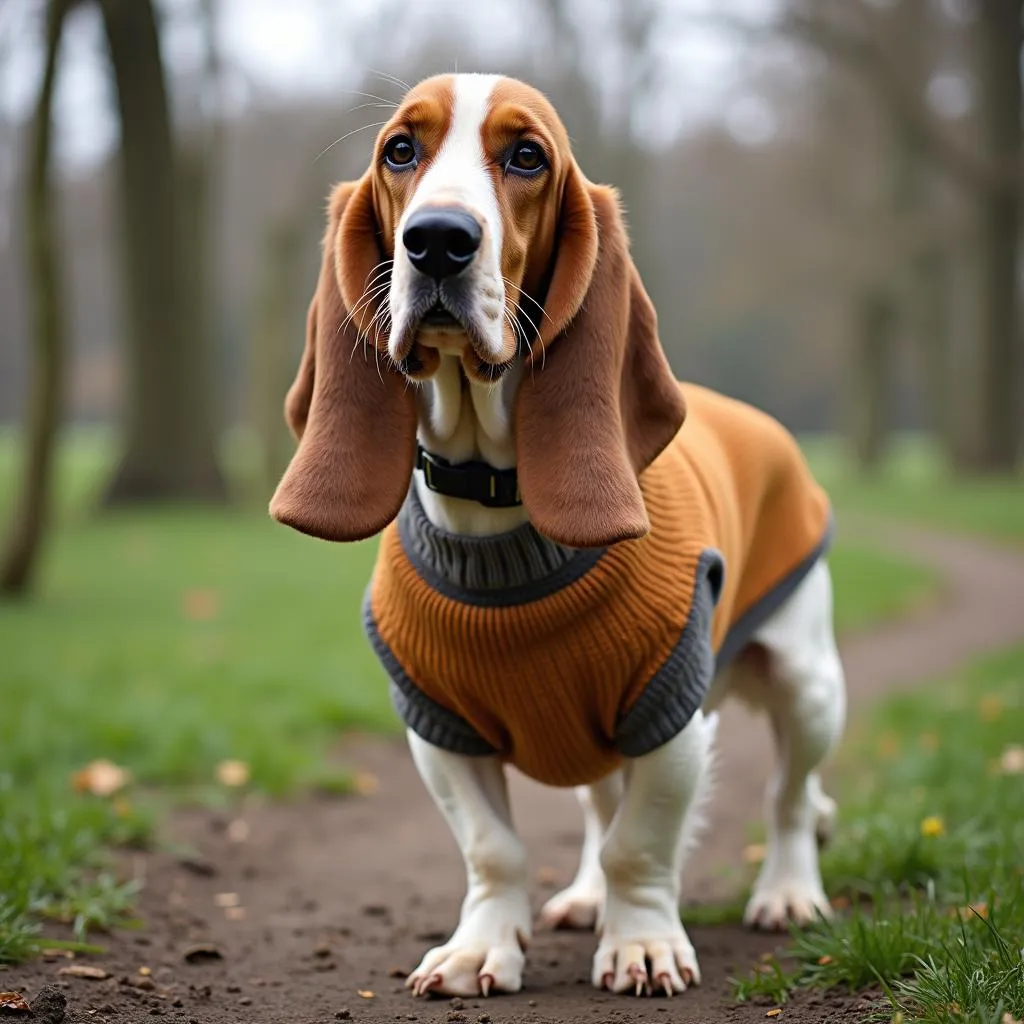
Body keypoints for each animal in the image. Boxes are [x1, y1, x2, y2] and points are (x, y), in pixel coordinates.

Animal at [268, 72, 843, 999]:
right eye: (401, 150)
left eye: (527, 157)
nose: (437, 241)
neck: (499, 520)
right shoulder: (437, 729)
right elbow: (495, 849)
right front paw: (480, 948)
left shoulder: (672, 716)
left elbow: (641, 844)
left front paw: (642, 942)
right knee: (599, 808)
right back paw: (584, 898)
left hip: (809, 682)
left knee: (789, 798)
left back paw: (788, 892)